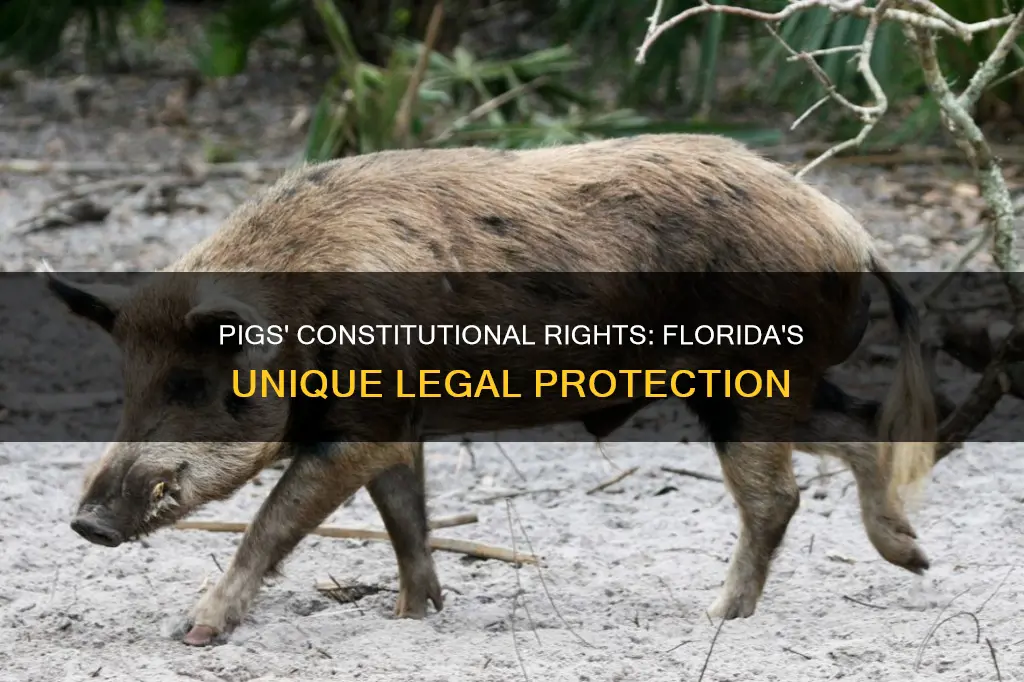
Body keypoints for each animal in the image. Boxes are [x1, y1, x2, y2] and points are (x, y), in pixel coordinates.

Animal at [47, 133, 937, 646]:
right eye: (129, 386)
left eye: (190, 383)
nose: (86, 523)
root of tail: (850, 230)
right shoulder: (394, 423)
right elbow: (404, 515)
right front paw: (413, 617)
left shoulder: (362, 421)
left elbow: (272, 523)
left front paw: (193, 634)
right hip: (771, 381)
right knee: (860, 424)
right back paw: (913, 559)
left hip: (744, 376)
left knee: (775, 497)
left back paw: (714, 618)